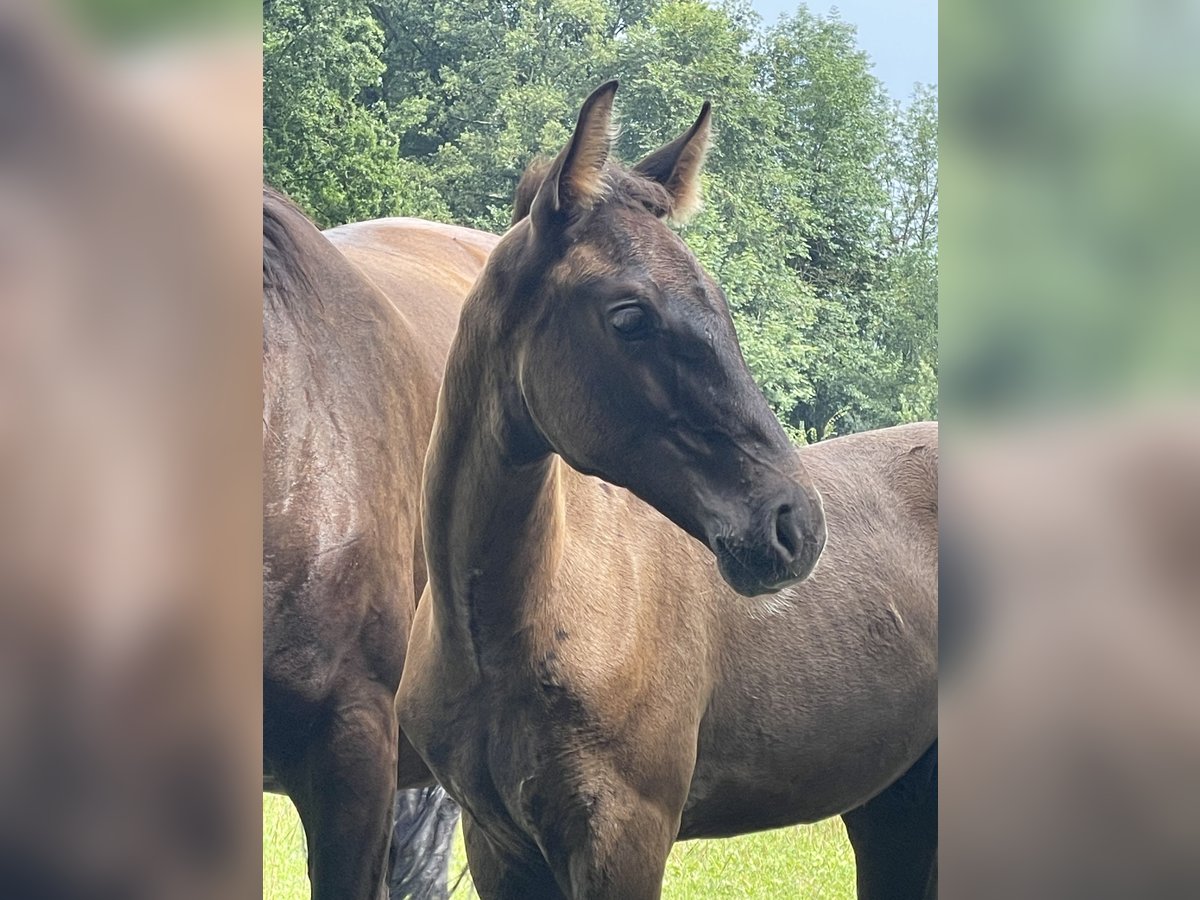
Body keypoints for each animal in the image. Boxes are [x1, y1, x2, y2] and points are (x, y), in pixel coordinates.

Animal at [398, 84, 940, 900]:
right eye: (630, 316)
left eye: (718, 299)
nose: (795, 526)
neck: (508, 630)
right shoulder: (496, 843)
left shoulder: (626, 836)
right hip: (897, 803)